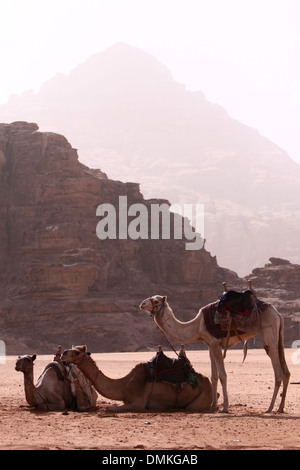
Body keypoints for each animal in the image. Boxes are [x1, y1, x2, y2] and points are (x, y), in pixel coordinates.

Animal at [61, 346, 212, 412]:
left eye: (76, 352)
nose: (62, 354)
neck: (124, 385)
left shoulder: (138, 403)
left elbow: (109, 409)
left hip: (199, 400)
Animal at [140, 288, 290, 414]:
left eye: (156, 301)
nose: (142, 304)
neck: (197, 326)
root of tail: (278, 314)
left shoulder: (216, 344)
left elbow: (223, 375)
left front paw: (225, 408)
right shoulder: (210, 345)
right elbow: (214, 376)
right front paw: (212, 407)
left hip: (269, 334)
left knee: (278, 372)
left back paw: (270, 408)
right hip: (279, 337)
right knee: (286, 372)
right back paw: (280, 408)